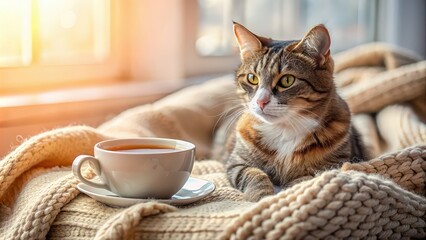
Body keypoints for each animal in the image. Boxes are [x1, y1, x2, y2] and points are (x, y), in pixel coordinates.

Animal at [225, 22, 368, 202]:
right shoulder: (236, 162)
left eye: (287, 80)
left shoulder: (331, 165)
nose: (260, 101)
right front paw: (261, 197)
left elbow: (302, 181)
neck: (284, 129)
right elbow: (253, 174)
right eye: (252, 78)